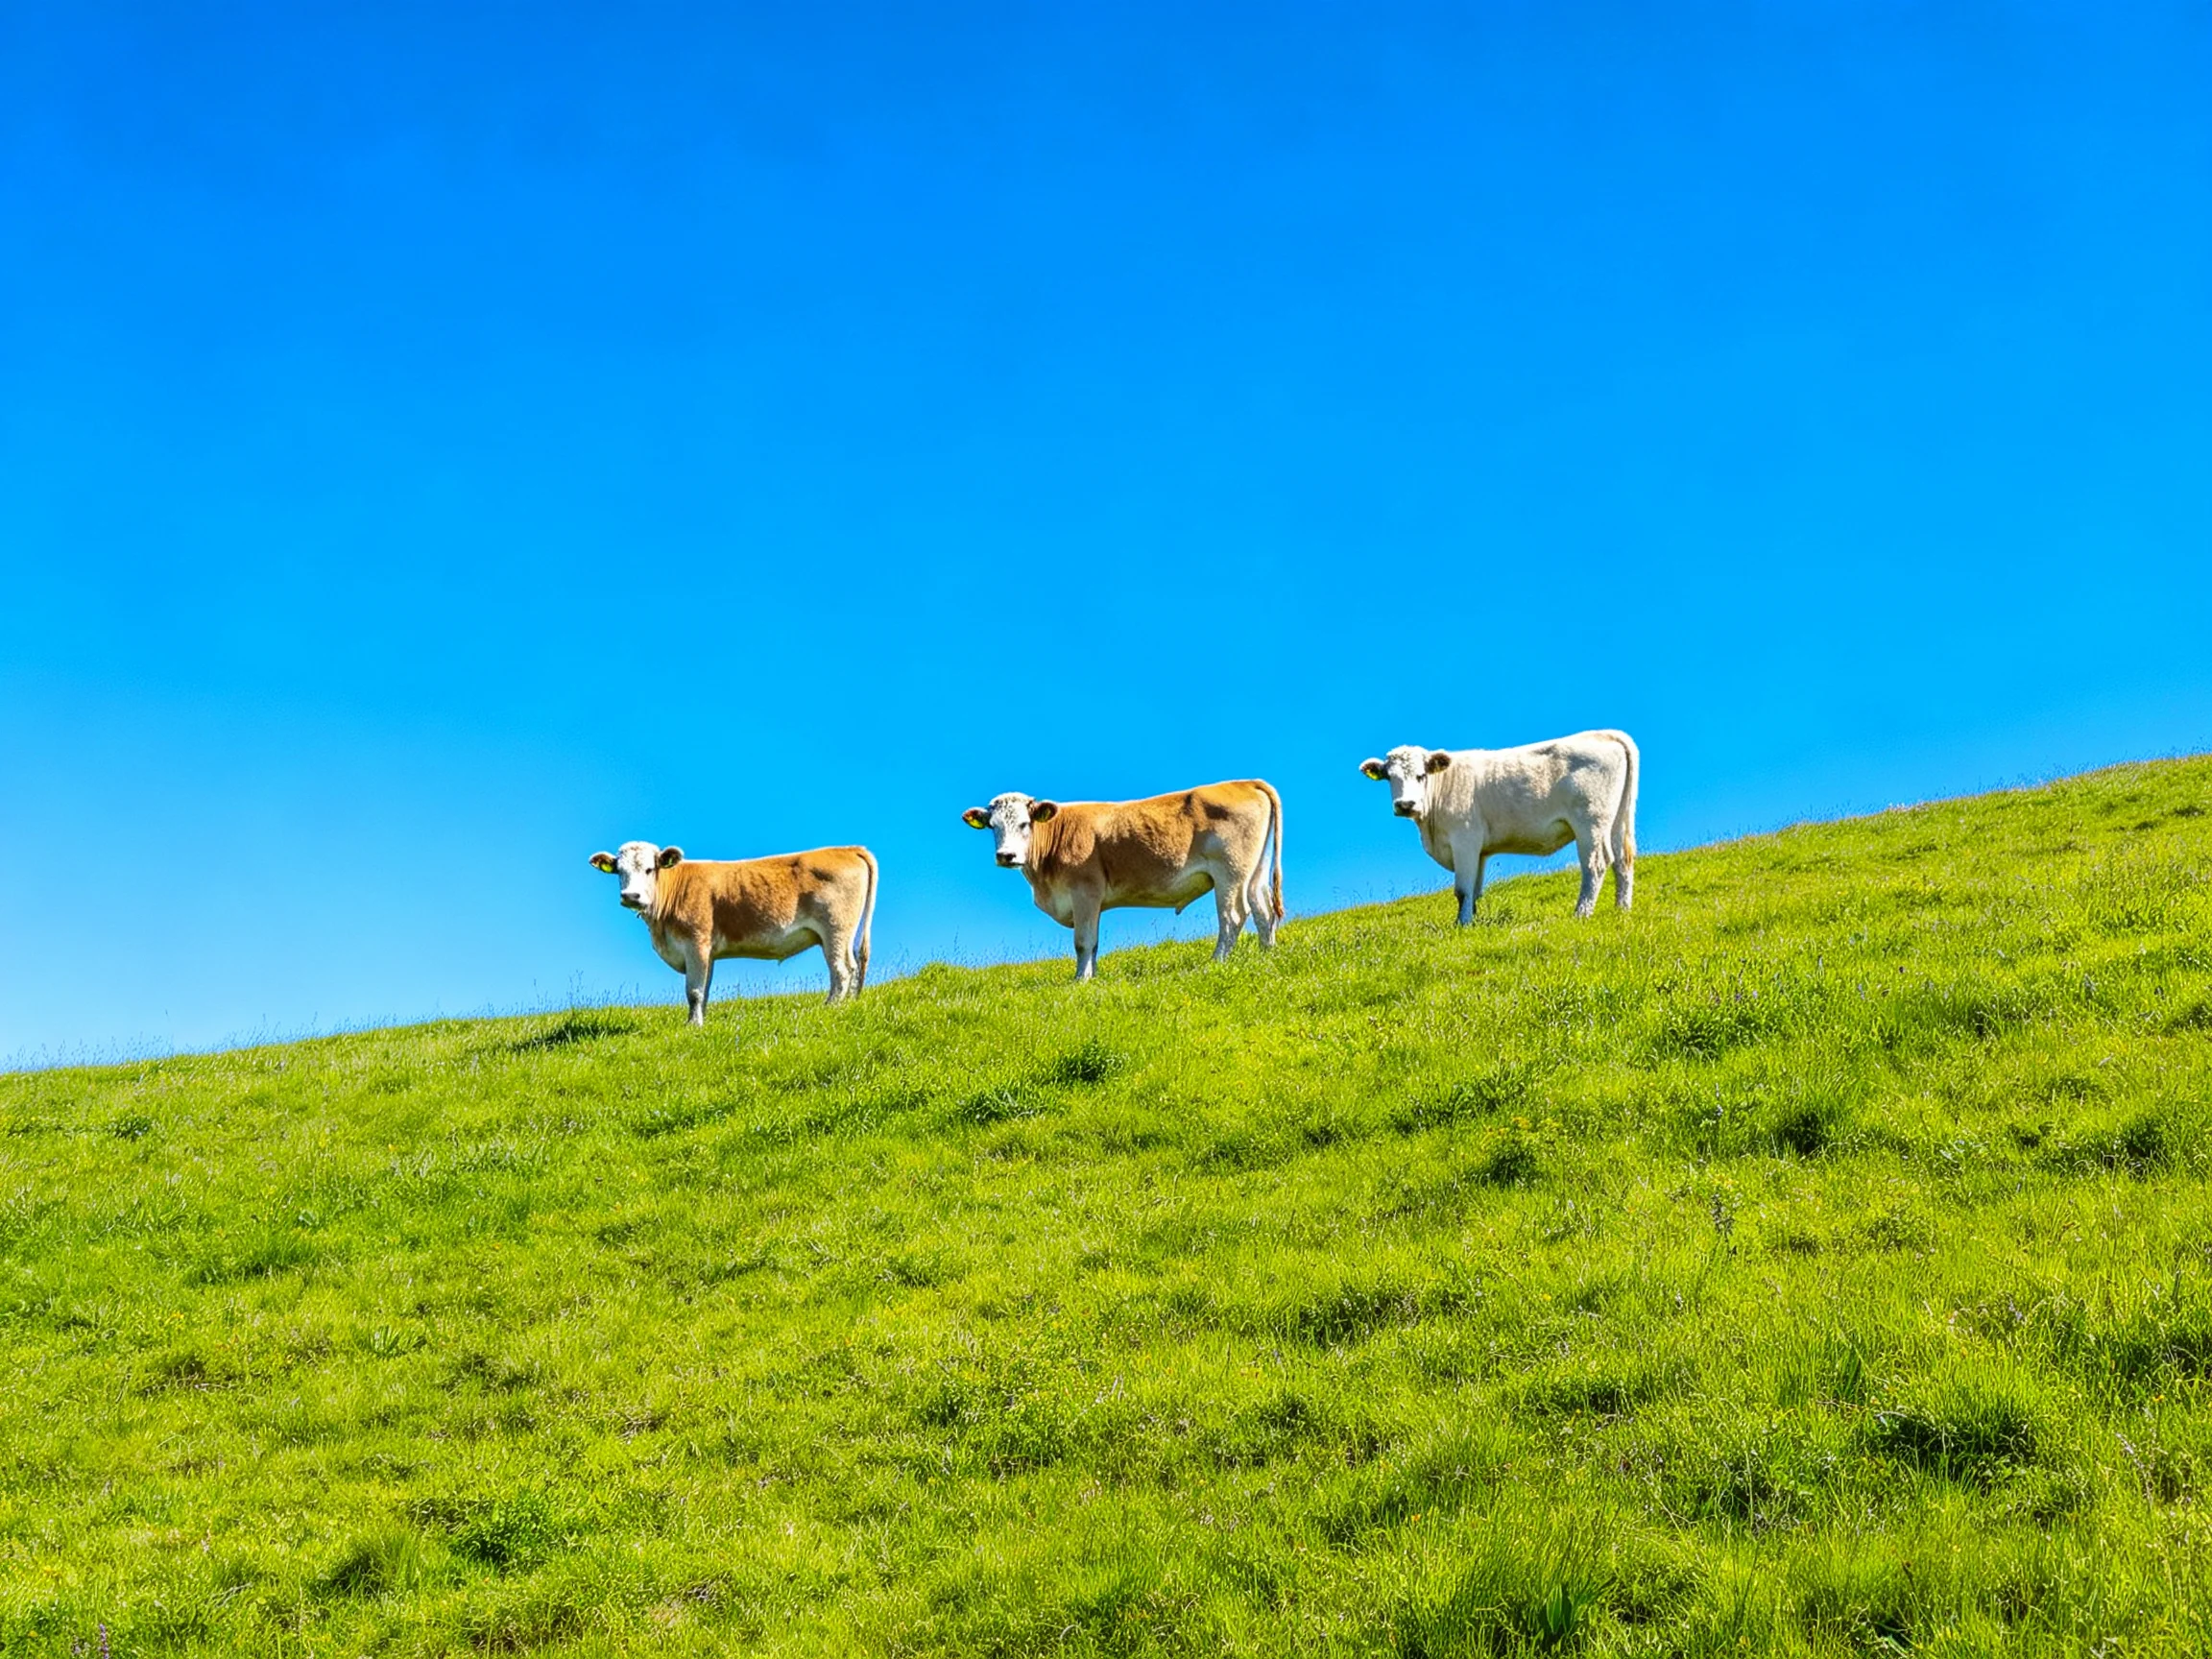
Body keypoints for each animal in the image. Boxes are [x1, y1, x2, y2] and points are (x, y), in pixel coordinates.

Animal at [587, 841, 877, 1024]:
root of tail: (848, 849)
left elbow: (694, 991)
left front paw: (692, 1026)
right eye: (619, 871)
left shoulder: (696, 943)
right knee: (853, 967)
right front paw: (699, 1022)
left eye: (649, 869)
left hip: (835, 930)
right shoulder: (708, 953)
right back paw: (849, 1003)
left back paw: (831, 1007)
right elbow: (704, 990)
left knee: (841, 970)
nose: (631, 896)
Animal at [962, 781, 1285, 981]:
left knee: (1233, 916)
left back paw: (1216, 962)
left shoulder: (1085, 892)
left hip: (1229, 873)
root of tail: (1243, 782)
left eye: (1024, 824)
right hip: (1254, 873)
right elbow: (1093, 944)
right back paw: (1267, 955)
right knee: (1263, 912)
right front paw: (1091, 977)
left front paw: (1079, 980)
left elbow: (1083, 942)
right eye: (993, 826)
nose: (1006, 855)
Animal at [1359, 731, 1638, 923]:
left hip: (1591, 822)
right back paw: (1621, 910)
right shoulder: (1479, 850)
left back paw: (1581, 913)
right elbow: (1474, 890)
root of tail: (1603, 734)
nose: (1405, 804)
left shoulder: (1464, 841)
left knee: (1596, 864)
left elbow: (1462, 890)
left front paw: (1461, 924)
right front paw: (1471, 922)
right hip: (1615, 822)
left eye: (1421, 775)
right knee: (1622, 862)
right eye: (1390, 777)